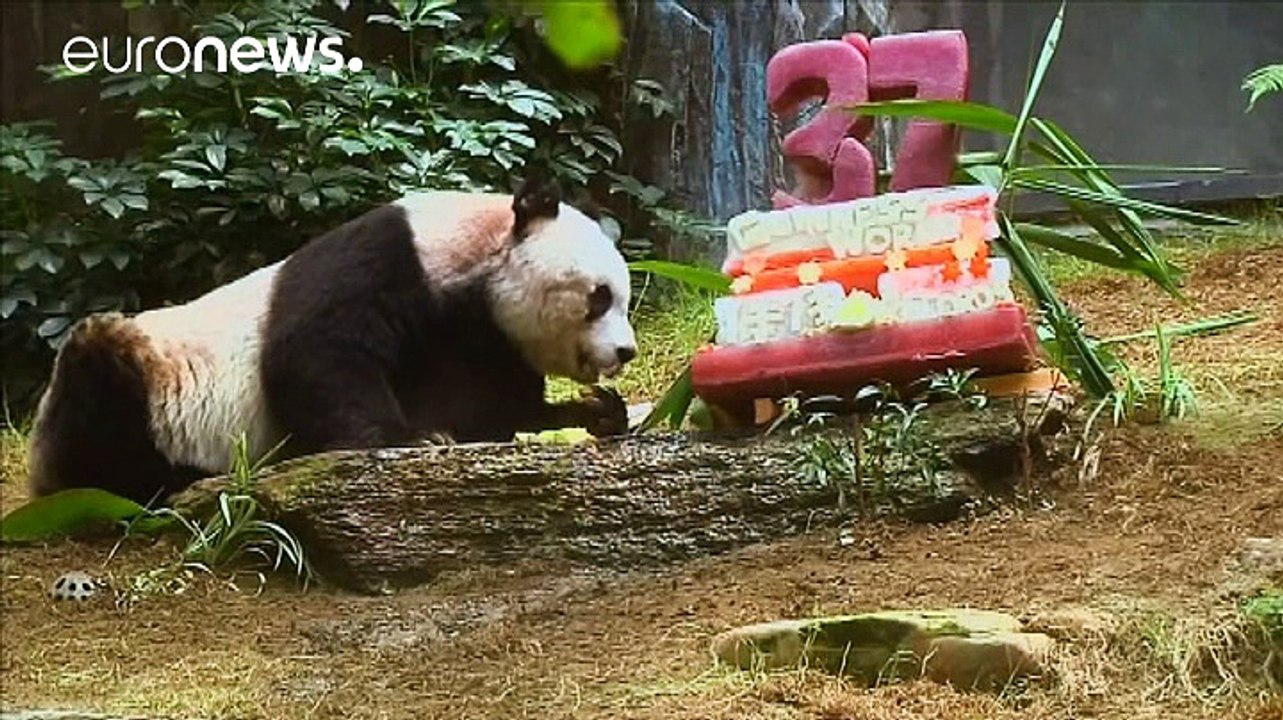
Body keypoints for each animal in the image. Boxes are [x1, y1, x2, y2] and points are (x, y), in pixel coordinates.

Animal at [26, 174, 638, 505]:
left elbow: (492, 409)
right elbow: (315, 353)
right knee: (101, 398)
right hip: (145, 377)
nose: (626, 352)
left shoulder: (479, 339)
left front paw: (597, 411)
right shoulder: (391, 258)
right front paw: (410, 438)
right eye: (600, 296)